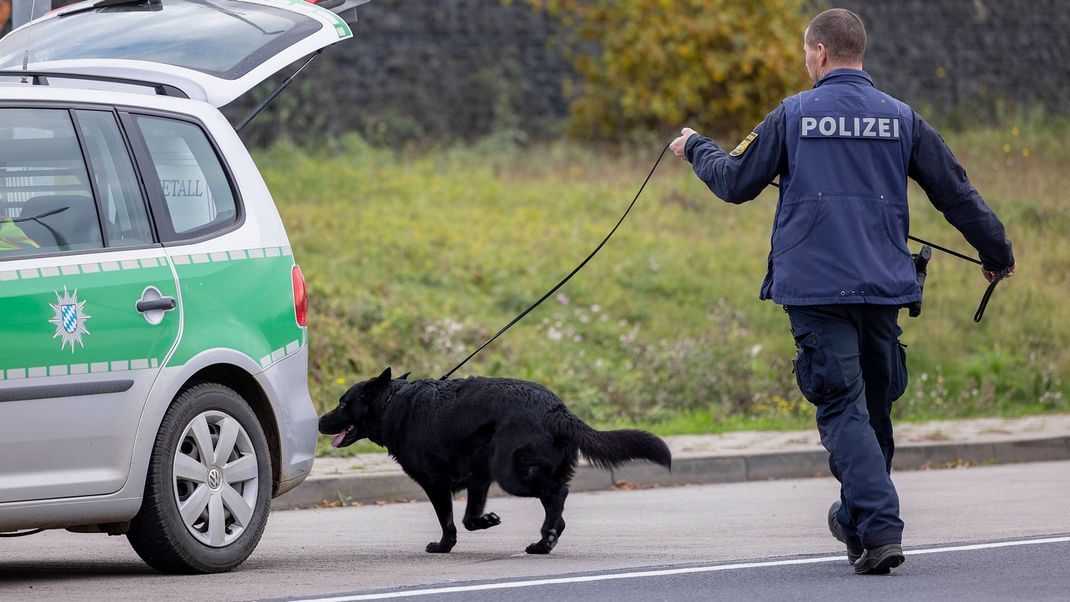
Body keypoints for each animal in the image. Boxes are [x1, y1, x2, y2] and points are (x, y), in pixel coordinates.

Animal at [314, 367, 667, 556]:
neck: (392, 402)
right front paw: (486, 521)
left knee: (558, 494)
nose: (318, 421)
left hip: (512, 473)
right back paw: (544, 542)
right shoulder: (478, 478)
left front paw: (443, 546)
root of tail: (557, 410)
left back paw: (546, 537)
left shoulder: (436, 484)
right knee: (558, 506)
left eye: (343, 403)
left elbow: (449, 522)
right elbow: (469, 518)